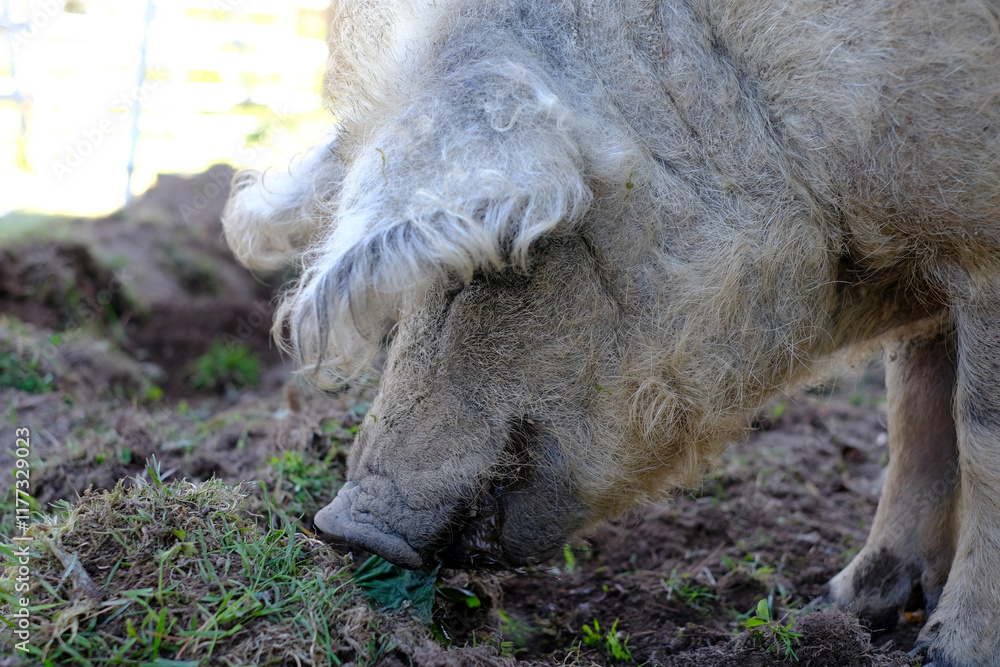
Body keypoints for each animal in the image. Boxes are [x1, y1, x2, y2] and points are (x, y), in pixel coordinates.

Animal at [223, 0, 1000, 664]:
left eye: (514, 253)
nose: (343, 526)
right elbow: (914, 411)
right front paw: (836, 606)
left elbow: (977, 433)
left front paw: (944, 653)